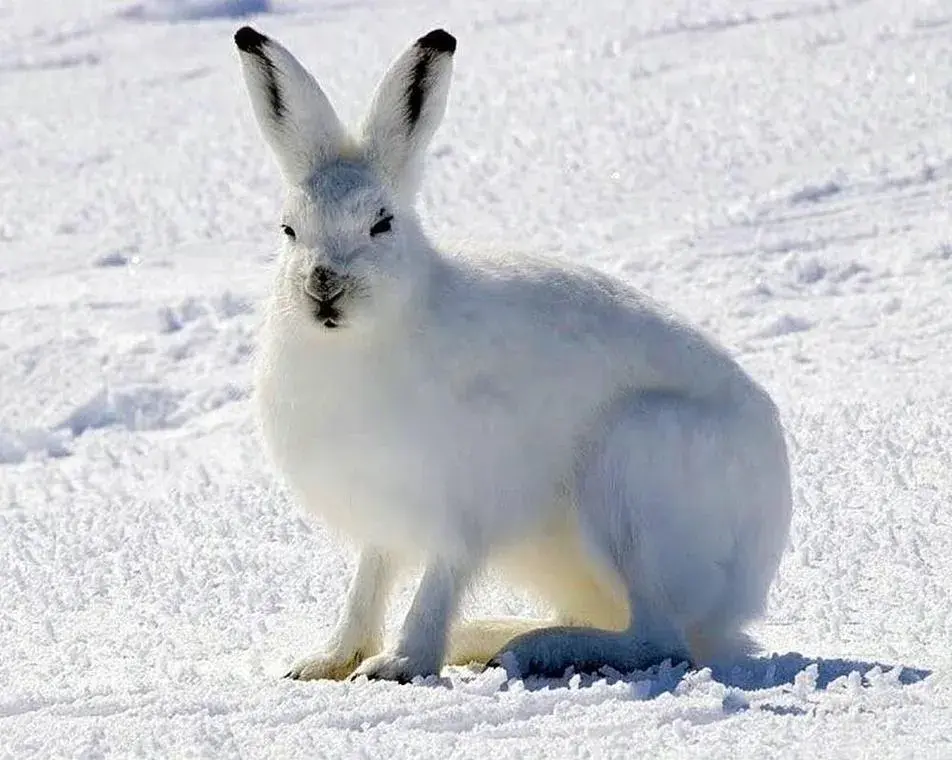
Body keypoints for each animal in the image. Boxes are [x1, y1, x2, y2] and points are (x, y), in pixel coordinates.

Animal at [234, 25, 793, 684]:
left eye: (381, 224)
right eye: (288, 230)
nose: (324, 285)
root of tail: (749, 582)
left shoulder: (461, 506)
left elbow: (437, 582)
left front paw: (400, 662)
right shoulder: (383, 517)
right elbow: (368, 584)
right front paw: (326, 661)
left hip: (634, 468)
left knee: (661, 639)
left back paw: (534, 649)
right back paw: (490, 637)